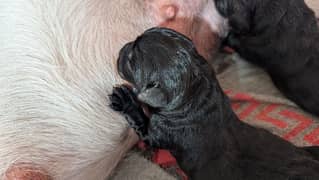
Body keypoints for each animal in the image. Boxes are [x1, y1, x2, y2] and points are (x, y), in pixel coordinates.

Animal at [110, 27, 319, 179]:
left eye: (131, 60)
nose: (123, 47)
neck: (195, 94)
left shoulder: (158, 134)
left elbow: (142, 123)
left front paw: (124, 99)